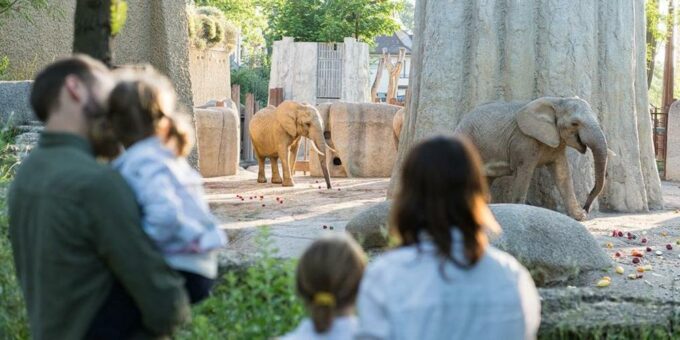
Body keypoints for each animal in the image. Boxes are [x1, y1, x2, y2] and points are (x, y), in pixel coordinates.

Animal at [454, 97, 608, 222]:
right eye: (575, 123)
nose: (586, 208)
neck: (557, 101)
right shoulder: (524, 140)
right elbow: (524, 171)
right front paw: (519, 209)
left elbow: (562, 173)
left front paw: (579, 217)